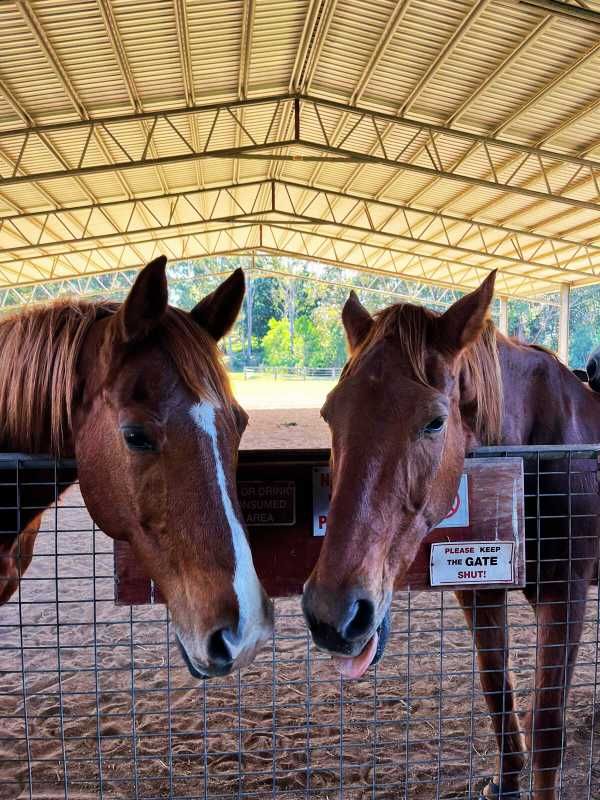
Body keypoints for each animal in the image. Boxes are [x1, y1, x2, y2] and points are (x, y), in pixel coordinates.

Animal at [302, 271, 600, 799]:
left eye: (436, 421)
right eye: (329, 414)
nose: (333, 614)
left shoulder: (566, 596)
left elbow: (546, 729)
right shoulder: (479, 590)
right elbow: (497, 694)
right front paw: (504, 784)